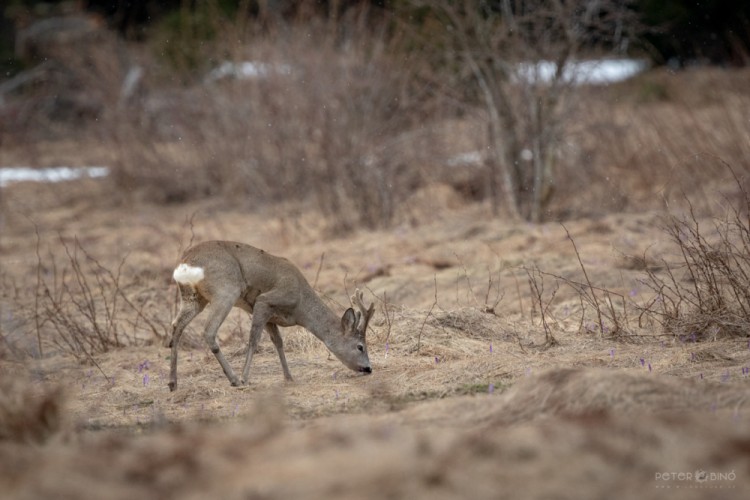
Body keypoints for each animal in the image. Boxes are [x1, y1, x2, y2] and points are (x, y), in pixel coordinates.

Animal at [167, 241, 374, 390]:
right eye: (360, 346)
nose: (369, 368)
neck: (300, 306)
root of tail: (185, 263)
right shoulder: (264, 300)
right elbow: (254, 339)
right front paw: (245, 378)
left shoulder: (267, 314)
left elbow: (278, 342)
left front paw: (289, 377)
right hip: (225, 291)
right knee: (209, 331)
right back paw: (234, 379)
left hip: (193, 298)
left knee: (176, 327)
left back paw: (172, 383)